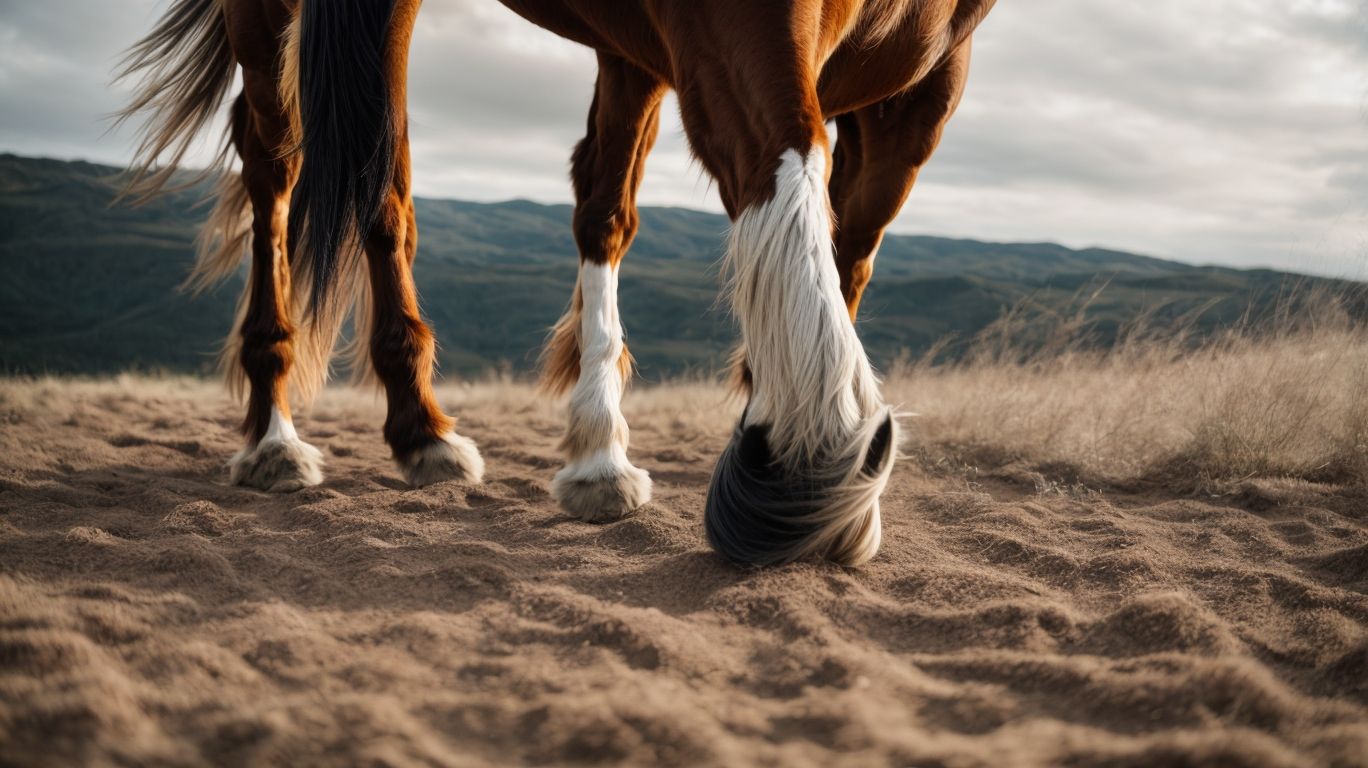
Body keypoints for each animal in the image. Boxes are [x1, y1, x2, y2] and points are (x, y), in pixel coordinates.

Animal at [116, 0, 995, 566]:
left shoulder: (924, 90)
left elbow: (838, 251)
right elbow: (761, 173)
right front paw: (605, 456)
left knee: (378, 176)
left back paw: (419, 431)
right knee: (280, 162)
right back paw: (274, 437)